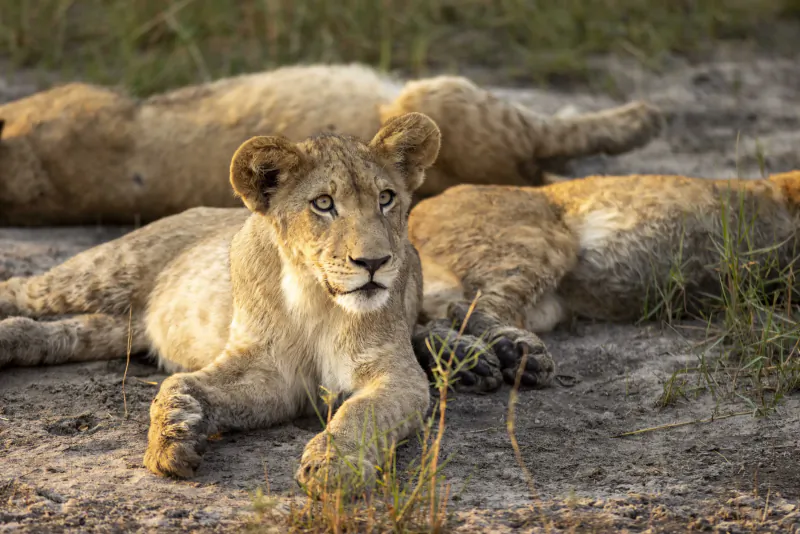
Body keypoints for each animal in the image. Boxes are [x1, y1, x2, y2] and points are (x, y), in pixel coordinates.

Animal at [0, 112, 503, 495]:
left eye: (386, 198)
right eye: (323, 204)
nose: (375, 262)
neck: (317, 300)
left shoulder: (388, 374)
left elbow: (360, 413)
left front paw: (331, 468)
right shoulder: (268, 368)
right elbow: (177, 385)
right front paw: (173, 440)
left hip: (120, 326)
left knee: (66, 333)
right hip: (105, 271)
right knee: (27, 288)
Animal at [409, 171, 800, 386]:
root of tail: (412, 213)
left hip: (546, 305)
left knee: (426, 324)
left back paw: (470, 361)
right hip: (537, 242)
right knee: (468, 308)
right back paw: (514, 353)